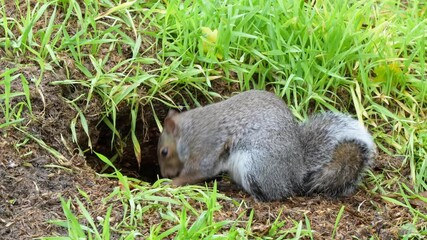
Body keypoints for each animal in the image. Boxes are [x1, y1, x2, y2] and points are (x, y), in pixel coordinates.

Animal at [158, 89, 378, 201]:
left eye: (164, 152)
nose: (164, 174)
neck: (187, 134)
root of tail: (295, 173)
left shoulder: (205, 147)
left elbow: (198, 172)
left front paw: (172, 183)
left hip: (256, 166)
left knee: (272, 194)